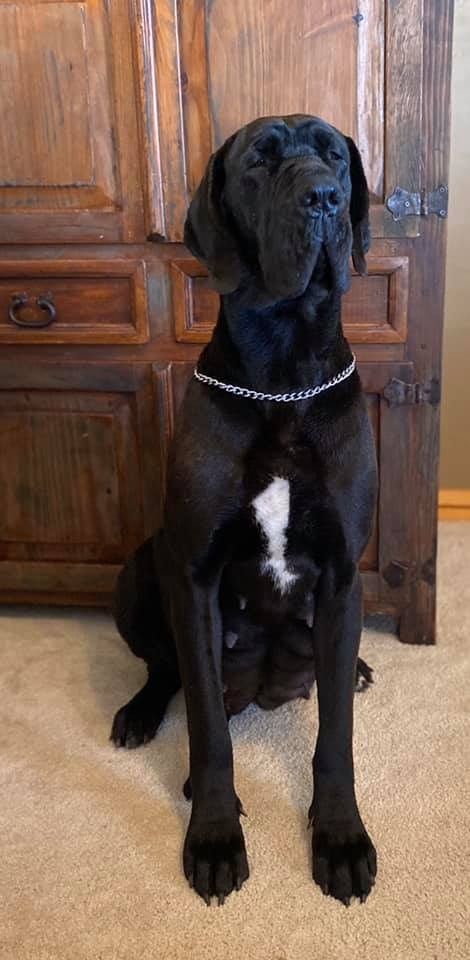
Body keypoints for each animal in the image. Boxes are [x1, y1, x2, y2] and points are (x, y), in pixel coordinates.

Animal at [111, 114, 378, 907]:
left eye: (334, 156)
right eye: (259, 164)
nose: (323, 198)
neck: (283, 377)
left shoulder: (344, 572)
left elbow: (336, 737)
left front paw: (340, 838)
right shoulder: (194, 572)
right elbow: (207, 729)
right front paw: (213, 835)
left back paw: (356, 667)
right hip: (140, 569)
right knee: (167, 669)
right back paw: (141, 714)